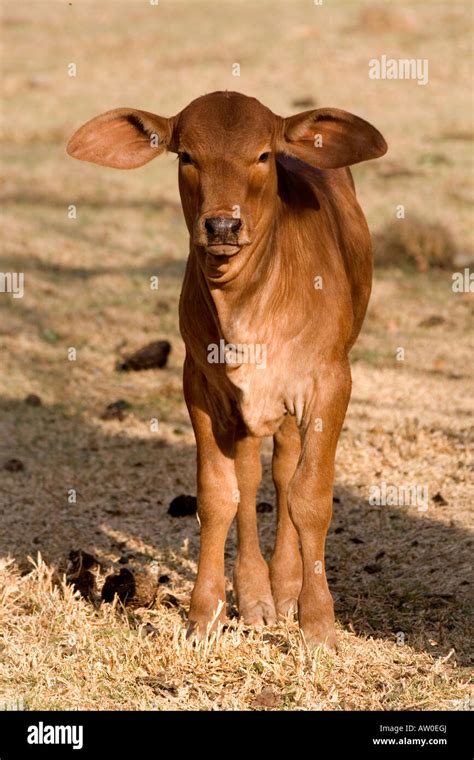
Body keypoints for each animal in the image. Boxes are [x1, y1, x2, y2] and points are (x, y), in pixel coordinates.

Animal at [68, 89, 386, 648]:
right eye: (186, 156)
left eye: (262, 155)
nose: (221, 225)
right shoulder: (200, 385)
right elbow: (220, 497)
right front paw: (204, 614)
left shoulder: (330, 383)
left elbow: (309, 496)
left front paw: (317, 621)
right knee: (253, 480)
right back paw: (259, 595)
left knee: (283, 475)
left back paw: (286, 587)